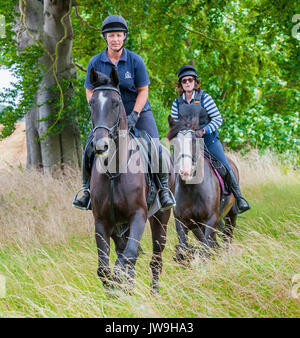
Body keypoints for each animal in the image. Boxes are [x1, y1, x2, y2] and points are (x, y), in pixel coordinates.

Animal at [88, 68, 175, 294]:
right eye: (92, 103)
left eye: (115, 103)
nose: (100, 146)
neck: (114, 171)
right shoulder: (102, 222)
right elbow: (104, 268)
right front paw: (115, 292)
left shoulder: (138, 215)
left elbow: (127, 258)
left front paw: (122, 286)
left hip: (160, 218)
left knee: (156, 258)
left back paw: (154, 292)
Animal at [166, 114, 239, 262]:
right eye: (174, 144)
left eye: (194, 141)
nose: (185, 171)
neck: (192, 189)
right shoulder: (182, 222)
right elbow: (184, 249)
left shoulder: (210, 220)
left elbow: (206, 250)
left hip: (231, 215)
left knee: (227, 237)